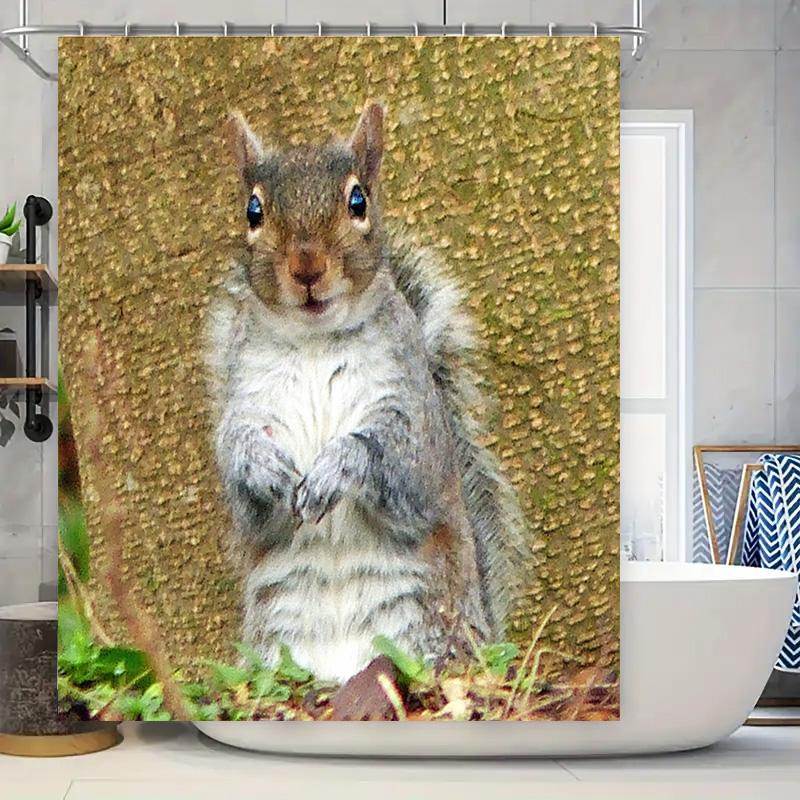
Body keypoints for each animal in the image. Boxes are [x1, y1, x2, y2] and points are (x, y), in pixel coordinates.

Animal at [205, 102, 523, 684]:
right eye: (253, 211)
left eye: (359, 201)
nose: (307, 267)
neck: (315, 341)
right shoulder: (247, 401)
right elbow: (237, 466)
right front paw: (263, 465)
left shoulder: (412, 409)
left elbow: (398, 460)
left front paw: (337, 467)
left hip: (427, 627)